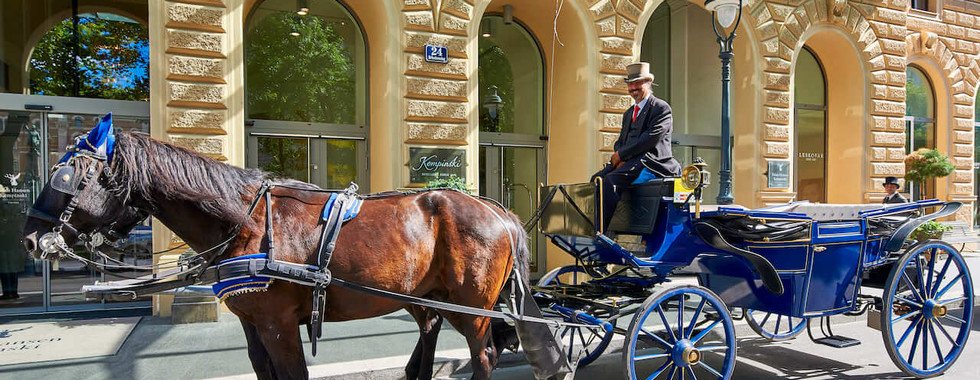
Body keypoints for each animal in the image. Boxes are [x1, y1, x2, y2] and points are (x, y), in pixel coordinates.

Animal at [21, 131, 536, 380]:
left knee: (484, 356)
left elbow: (292, 374)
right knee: (429, 338)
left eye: (69, 177)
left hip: (471, 307)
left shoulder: (279, 323)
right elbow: (263, 371)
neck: (247, 223)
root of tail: (498, 210)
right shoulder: (253, 322)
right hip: (427, 297)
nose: (30, 238)